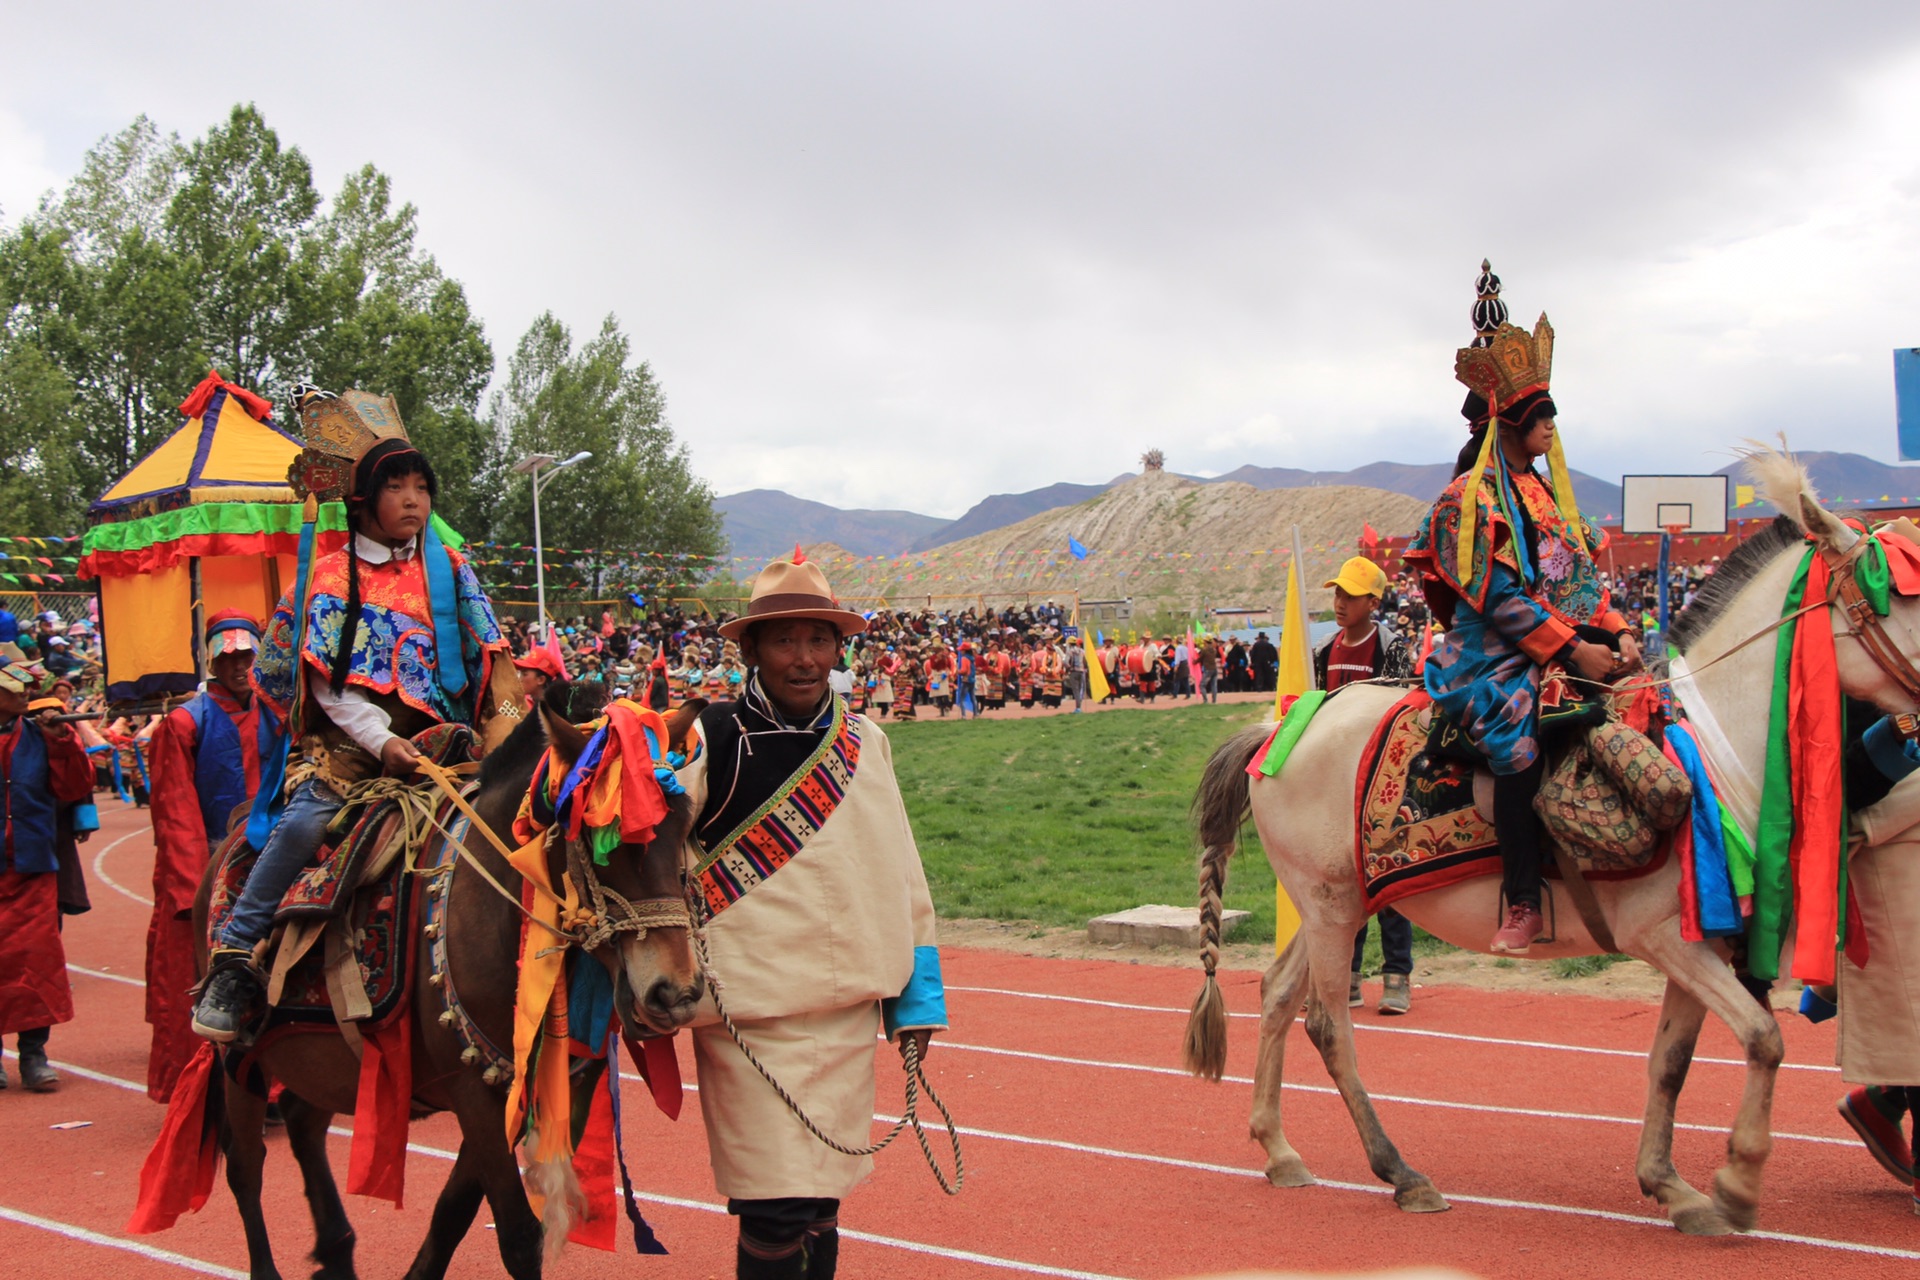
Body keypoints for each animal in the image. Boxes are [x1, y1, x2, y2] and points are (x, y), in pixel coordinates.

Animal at [194, 702, 710, 1280]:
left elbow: (453, 1213)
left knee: (304, 1124)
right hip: (241, 1057)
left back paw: (336, 1249)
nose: (673, 993)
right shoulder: (474, 1090)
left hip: (317, 1056)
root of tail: (235, 828)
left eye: (683, 827)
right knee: (245, 1166)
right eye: (602, 844)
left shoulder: (501, 1083)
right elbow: (517, 1236)